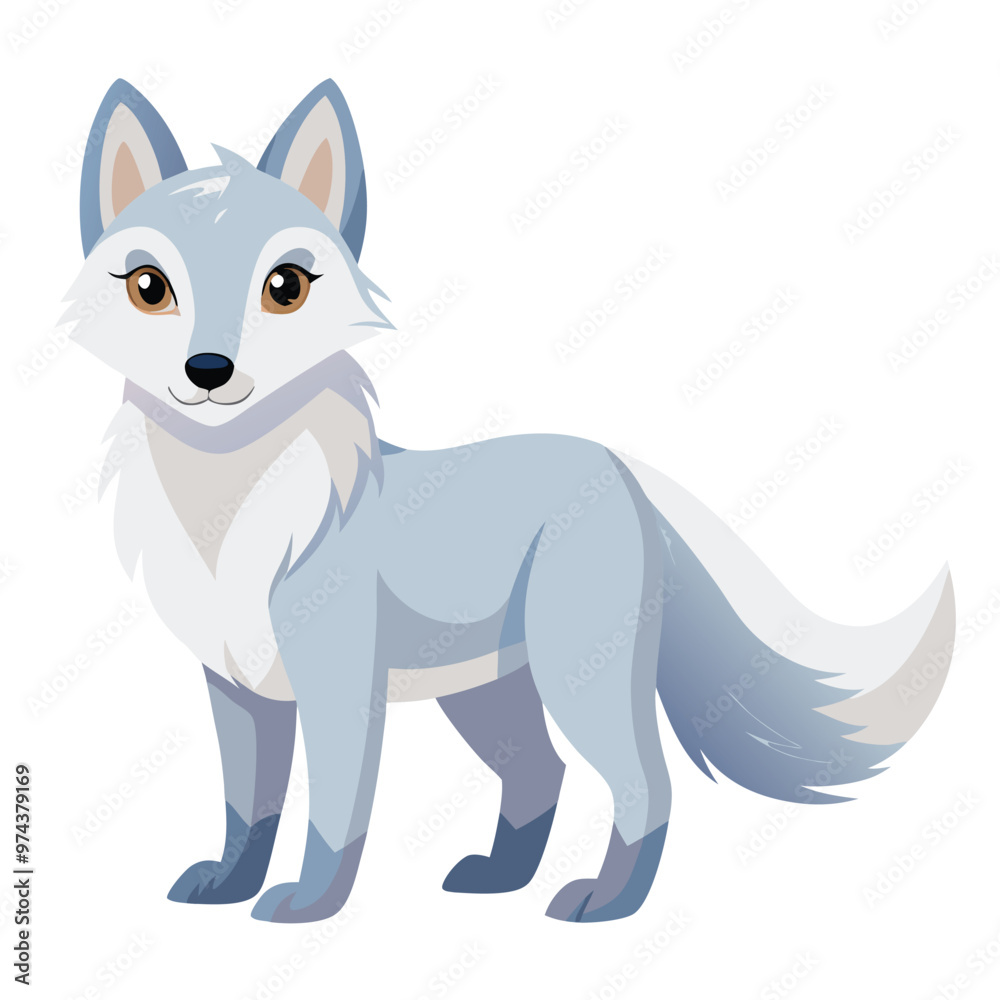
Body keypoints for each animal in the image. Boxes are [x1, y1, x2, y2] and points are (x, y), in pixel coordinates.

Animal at [66, 78, 956, 923]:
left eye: (285, 287)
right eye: (149, 287)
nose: (208, 370)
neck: (226, 512)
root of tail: (618, 466)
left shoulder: (340, 686)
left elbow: (334, 813)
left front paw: (308, 907)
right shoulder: (239, 691)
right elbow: (248, 807)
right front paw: (228, 887)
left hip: (575, 675)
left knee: (645, 783)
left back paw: (604, 904)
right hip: (486, 692)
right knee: (542, 773)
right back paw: (502, 878)